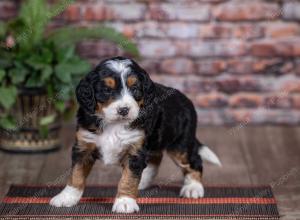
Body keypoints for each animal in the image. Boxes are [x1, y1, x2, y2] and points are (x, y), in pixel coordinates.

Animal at [50, 56, 221, 213]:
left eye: (135, 89)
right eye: (107, 90)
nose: (124, 110)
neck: (114, 124)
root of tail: (185, 99)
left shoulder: (135, 149)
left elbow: (128, 178)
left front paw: (125, 202)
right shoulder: (84, 146)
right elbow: (76, 174)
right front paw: (67, 197)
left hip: (180, 144)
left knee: (194, 161)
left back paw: (193, 188)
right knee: (155, 158)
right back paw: (144, 180)